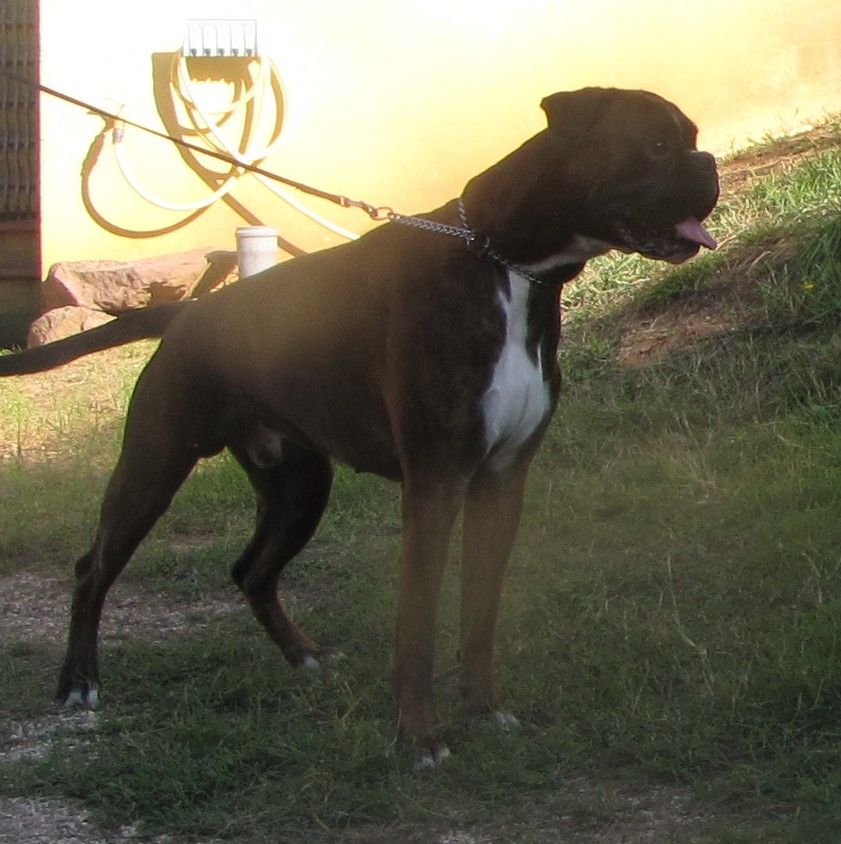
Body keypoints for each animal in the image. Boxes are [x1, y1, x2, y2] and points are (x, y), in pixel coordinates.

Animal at [1, 87, 720, 764]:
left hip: (298, 489)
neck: (506, 267)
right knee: (92, 568)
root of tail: (186, 313)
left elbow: (479, 612)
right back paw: (79, 682)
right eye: (657, 145)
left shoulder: (500, 484)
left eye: (690, 138)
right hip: (154, 467)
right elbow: (418, 621)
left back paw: (304, 656)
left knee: (250, 572)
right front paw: (420, 738)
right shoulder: (435, 483)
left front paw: (483, 711)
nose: (707, 163)